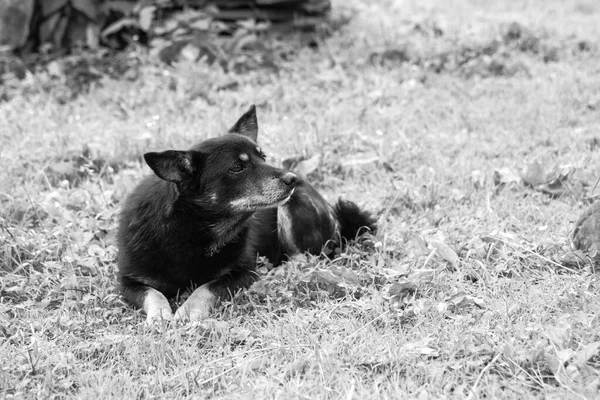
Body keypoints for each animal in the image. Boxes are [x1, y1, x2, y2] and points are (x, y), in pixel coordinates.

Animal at [116, 105, 376, 322]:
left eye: (263, 157)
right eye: (237, 167)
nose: (292, 179)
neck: (189, 231)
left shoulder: (241, 273)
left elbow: (205, 288)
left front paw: (188, 310)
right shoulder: (128, 282)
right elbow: (153, 294)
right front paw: (160, 315)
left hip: (294, 208)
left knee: (305, 258)